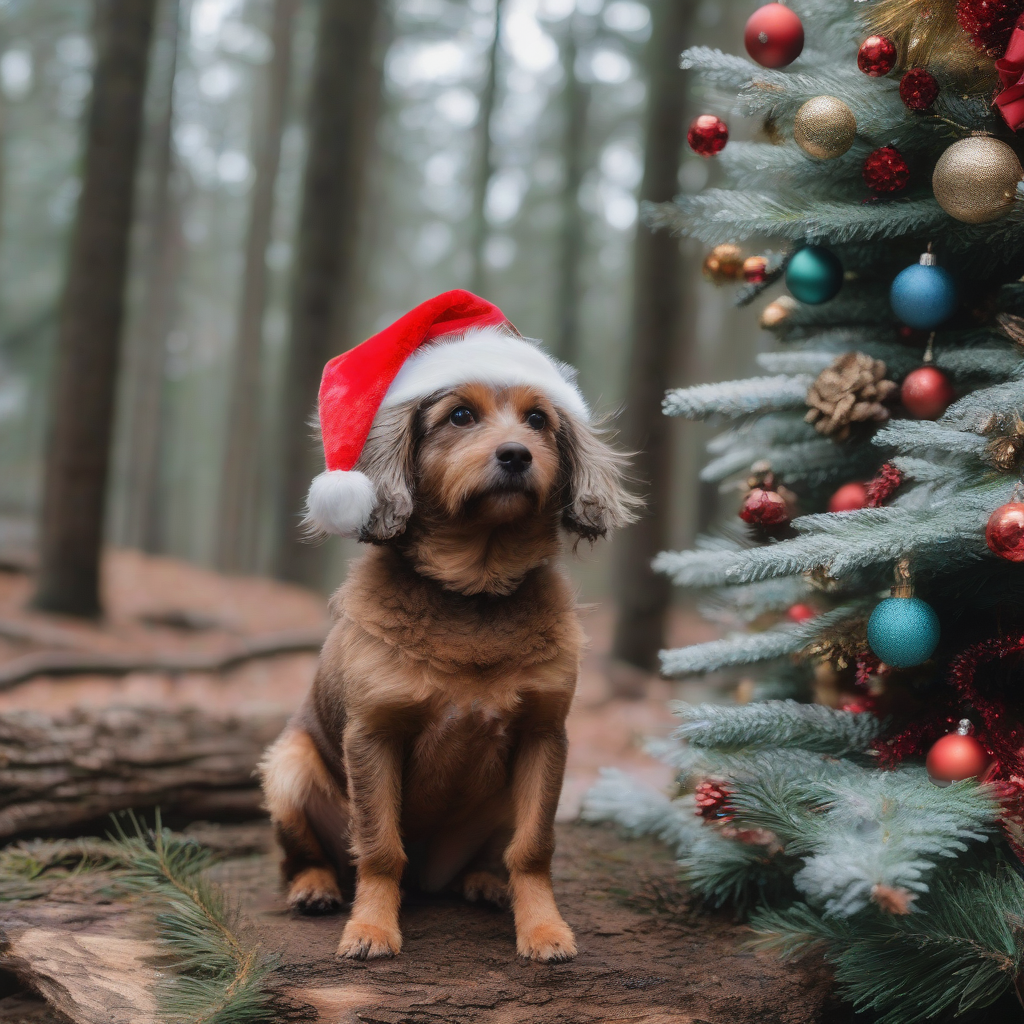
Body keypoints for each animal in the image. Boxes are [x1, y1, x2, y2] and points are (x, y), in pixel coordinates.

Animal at [260, 317, 634, 958]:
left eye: (539, 420)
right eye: (460, 415)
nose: (516, 455)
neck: (473, 591)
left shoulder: (544, 735)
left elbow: (533, 848)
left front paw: (543, 928)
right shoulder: (373, 736)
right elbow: (379, 847)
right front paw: (371, 927)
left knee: (492, 857)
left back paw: (484, 882)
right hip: (288, 768)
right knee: (303, 858)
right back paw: (315, 888)